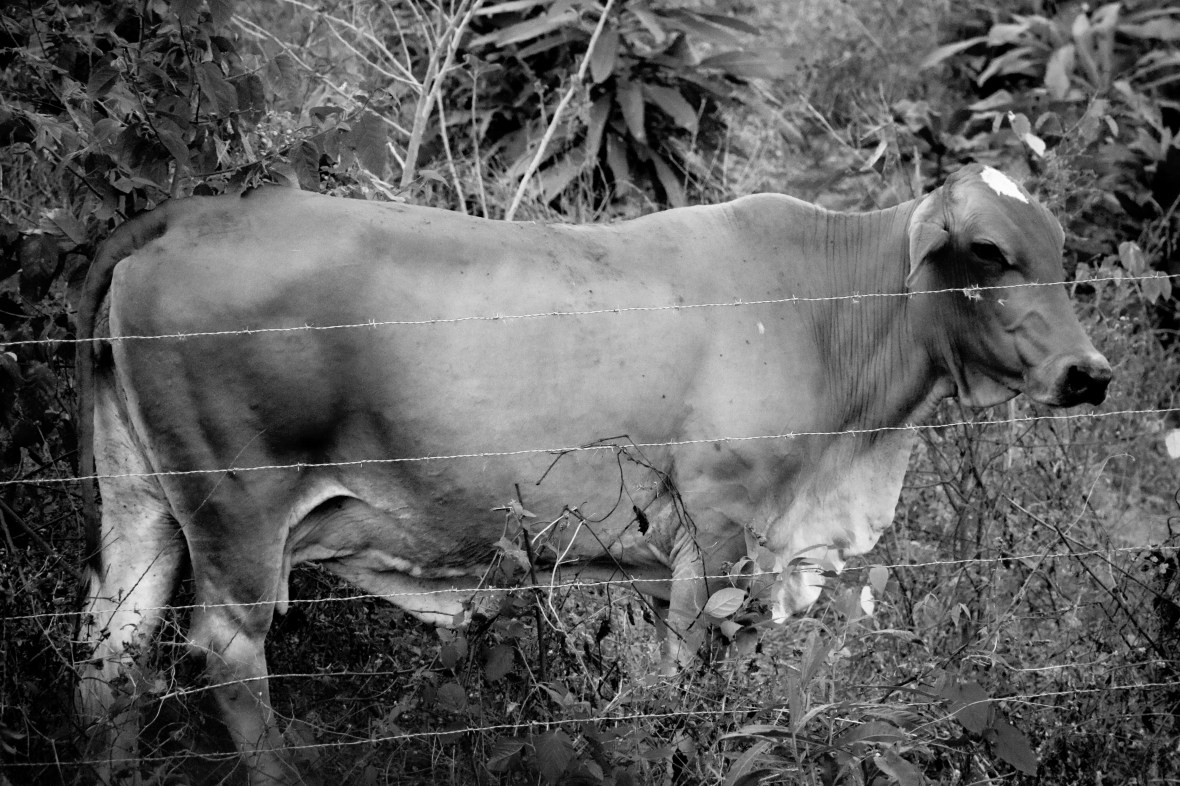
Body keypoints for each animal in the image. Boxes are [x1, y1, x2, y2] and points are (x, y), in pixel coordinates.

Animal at [75, 164, 1111, 784]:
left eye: (1060, 251)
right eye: (989, 252)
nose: (1089, 373)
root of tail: (186, 214)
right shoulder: (720, 540)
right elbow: (691, 693)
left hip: (138, 506)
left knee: (112, 655)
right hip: (237, 514)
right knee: (227, 655)